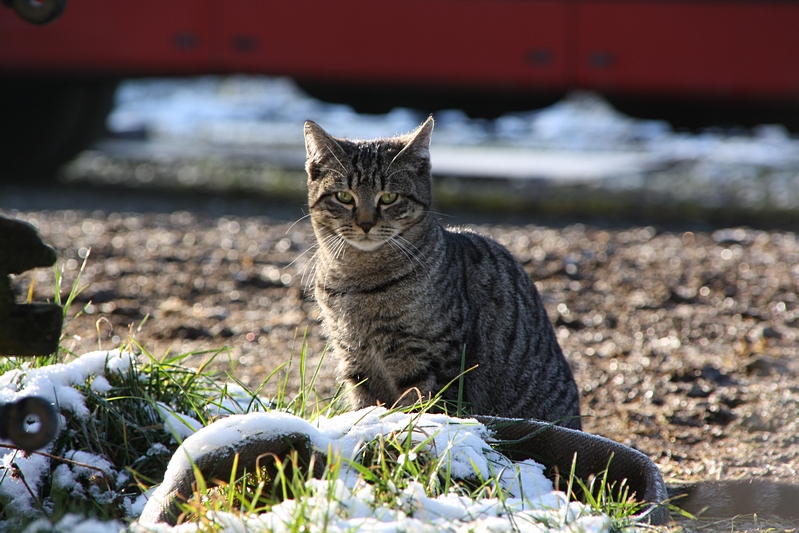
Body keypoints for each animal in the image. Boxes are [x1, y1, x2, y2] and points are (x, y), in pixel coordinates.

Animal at [304, 116, 580, 428]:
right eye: (343, 196)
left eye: (388, 197)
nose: (365, 223)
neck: (360, 281)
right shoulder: (353, 358)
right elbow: (366, 406)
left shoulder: (433, 362)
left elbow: (423, 408)